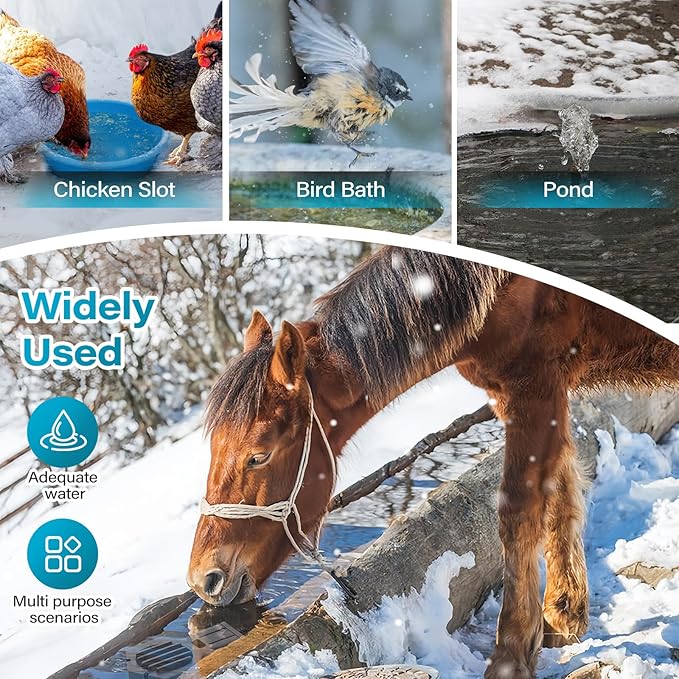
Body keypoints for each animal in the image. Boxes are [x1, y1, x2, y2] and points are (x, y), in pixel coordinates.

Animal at [187, 246, 679, 679]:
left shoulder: (533, 390)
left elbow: (518, 515)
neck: (495, 289)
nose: (202, 579)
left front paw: (511, 656)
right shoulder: (538, 396)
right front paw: (563, 617)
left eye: (258, 455)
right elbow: (560, 495)